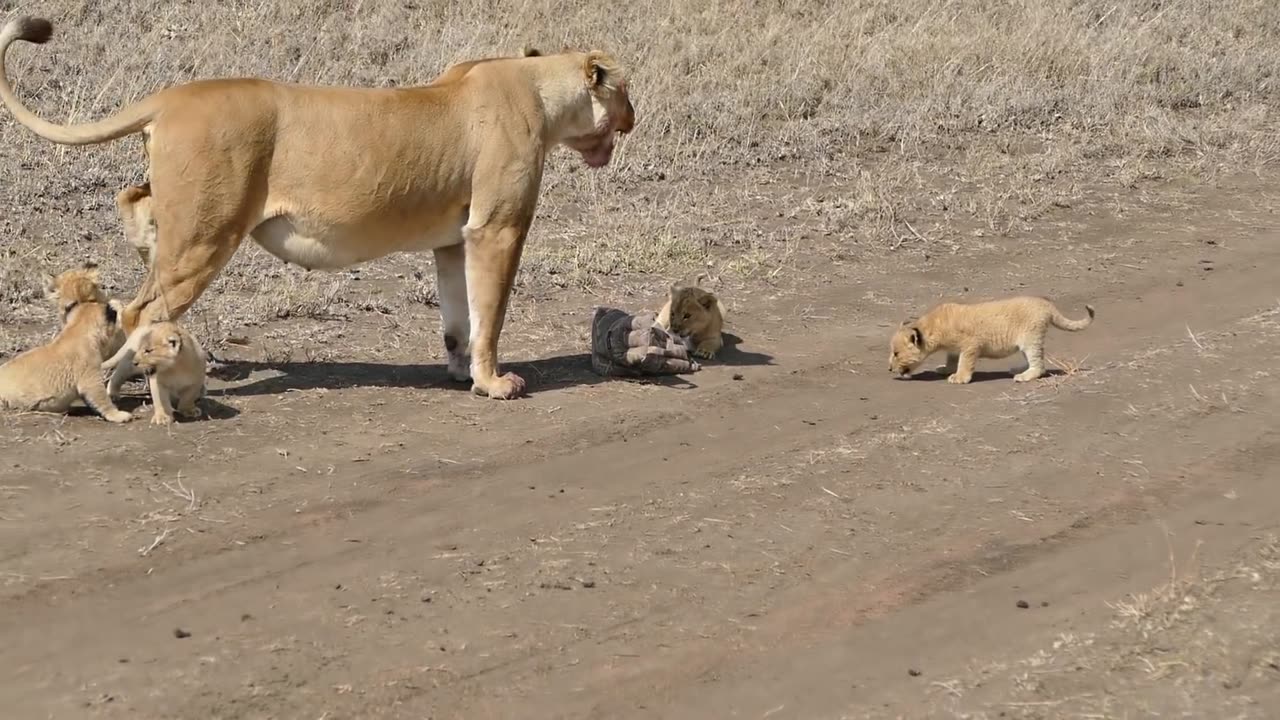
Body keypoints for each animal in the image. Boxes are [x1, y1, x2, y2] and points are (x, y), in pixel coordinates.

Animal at [0, 17, 636, 400]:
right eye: (625, 90)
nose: (635, 116)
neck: (539, 86)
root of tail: (173, 95)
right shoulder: (496, 229)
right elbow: (490, 314)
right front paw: (493, 382)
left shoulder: (453, 238)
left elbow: (459, 316)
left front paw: (459, 372)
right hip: (209, 232)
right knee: (141, 311)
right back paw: (120, 385)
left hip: (188, 220)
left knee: (134, 203)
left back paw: (139, 251)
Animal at [0, 265, 133, 422]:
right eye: (71, 305)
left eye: (92, 299)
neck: (77, 328)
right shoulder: (90, 377)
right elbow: (103, 399)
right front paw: (118, 415)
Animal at [888, 295, 1095, 384]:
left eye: (896, 353)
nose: (889, 368)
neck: (934, 327)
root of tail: (1046, 304)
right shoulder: (955, 349)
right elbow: (952, 359)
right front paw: (945, 369)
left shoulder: (971, 345)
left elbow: (964, 363)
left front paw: (959, 378)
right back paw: (1018, 369)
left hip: (1031, 339)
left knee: (1039, 365)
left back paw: (1024, 376)